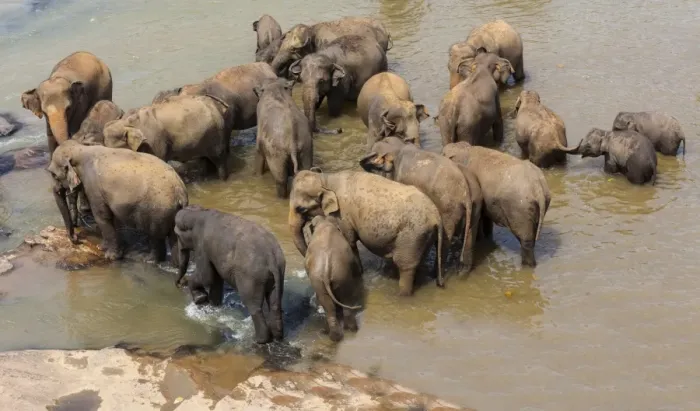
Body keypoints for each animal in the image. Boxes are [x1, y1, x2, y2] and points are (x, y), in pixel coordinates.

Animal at [46, 140, 188, 262]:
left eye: (53, 175)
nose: (76, 239)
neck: (80, 149)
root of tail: (180, 191)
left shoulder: (94, 188)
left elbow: (102, 217)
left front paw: (111, 257)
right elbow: (111, 217)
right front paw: (102, 247)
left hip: (157, 211)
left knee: (155, 237)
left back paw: (147, 259)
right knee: (174, 240)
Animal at [103, 90, 234, 180]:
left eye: (114, 152)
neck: (127, 122)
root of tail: (216, 105)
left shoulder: (156, 142)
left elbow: (159, 159)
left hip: (217, 134)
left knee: (219, 161)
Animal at [173, 206, 285, 344]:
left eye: (177, 235)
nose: (178, 284)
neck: (198, 212)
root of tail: (271, 257)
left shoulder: (202, 246)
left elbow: (206, 276)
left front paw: (200, 298)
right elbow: (215, 280)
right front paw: (213, 306)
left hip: (251, 278)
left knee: (254, 306)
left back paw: (258, 340)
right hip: (278, 273)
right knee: (275, 303)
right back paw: (277, 338)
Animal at [288, 169, 445, 296]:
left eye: (301, 209)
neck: (326, 179)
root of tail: (436, 216)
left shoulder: (343, 216)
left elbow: (350, 242)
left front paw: (359, 275)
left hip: (412, 235)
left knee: (406, 266)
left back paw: (401, 296)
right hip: (423, 237)